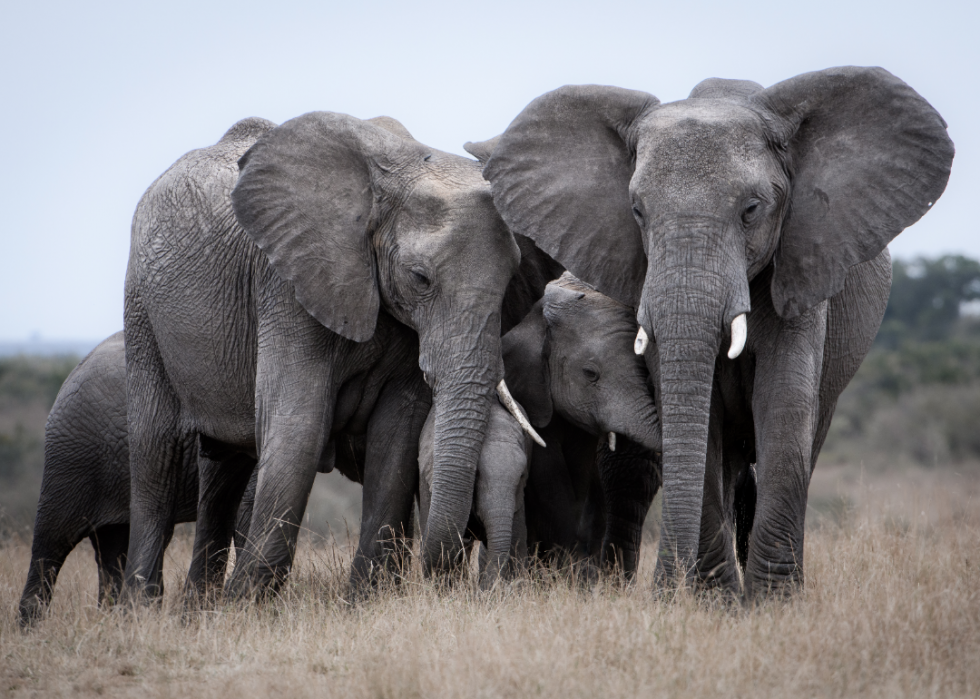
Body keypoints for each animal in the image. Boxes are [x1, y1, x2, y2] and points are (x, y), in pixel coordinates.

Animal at [123, 115, 540, 600]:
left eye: (511, 278)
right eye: (420, 278)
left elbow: (397, 434)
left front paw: (362, 600)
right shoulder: (287, 285)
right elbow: (299, 427)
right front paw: (246, 606)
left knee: (222, 469)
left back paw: (197, 607)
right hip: (142, 310)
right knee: (156, 456)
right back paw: (142, 606)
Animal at [478, 67, 952, 600]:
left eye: (751, 209)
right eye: (637, 211)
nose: (665, 588)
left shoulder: (802, 260)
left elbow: (785, 400)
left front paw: (772, 605)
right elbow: (695, 410)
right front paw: (713, 602)